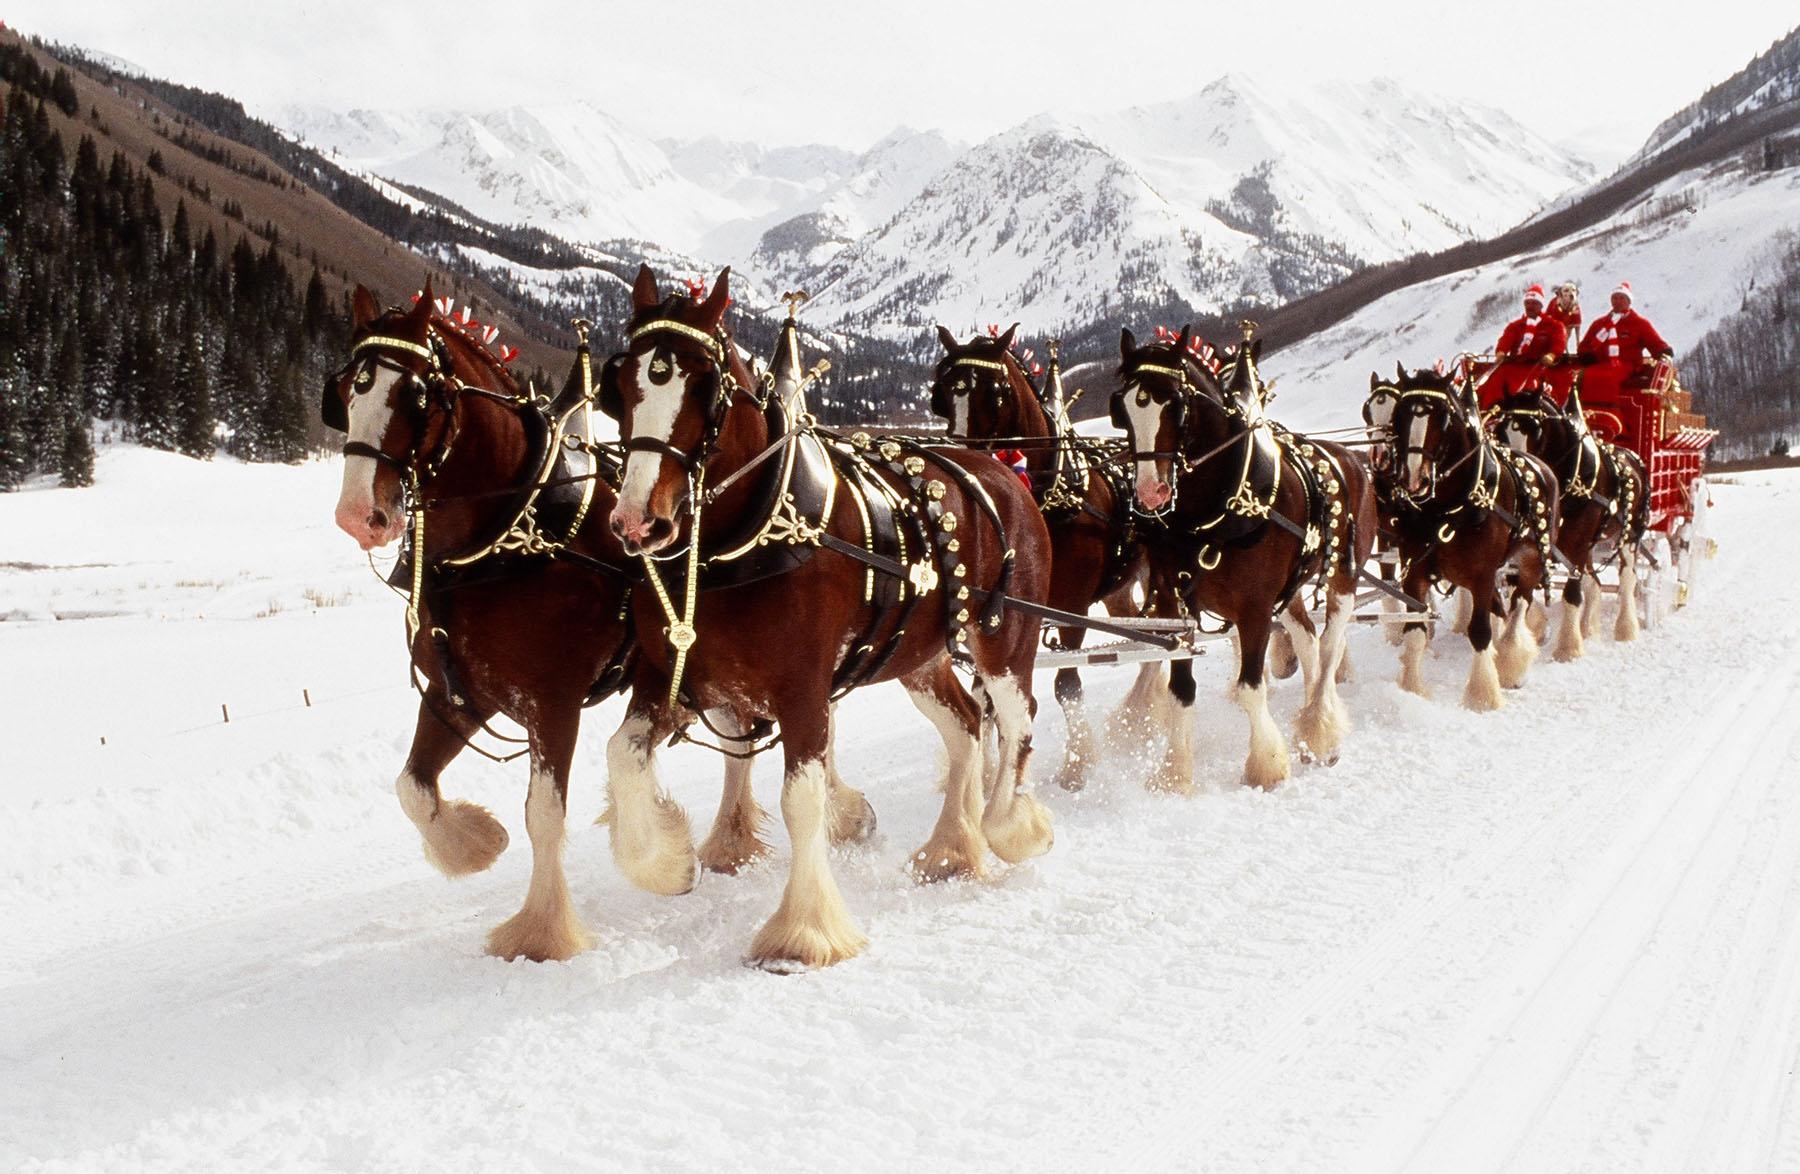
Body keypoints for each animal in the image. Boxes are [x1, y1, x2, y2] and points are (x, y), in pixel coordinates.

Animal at [601, 268, 1051, 972]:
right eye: (619, 381)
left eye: (702, 385)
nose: (638, 521)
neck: (749, 536)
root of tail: (1005, 473)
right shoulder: (679, 673)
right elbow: (622, 754)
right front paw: (667, 862)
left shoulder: (804, 691)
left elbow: (801, 800)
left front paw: (804, 931)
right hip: (918, 656)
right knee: (966, 727)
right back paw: (952, 847)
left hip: (1006, 640)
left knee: (1016, 720)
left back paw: (1006, 826)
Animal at [928, 325, 1137, 792]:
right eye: (943, 395)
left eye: (997, 392)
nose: (963, 463)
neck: (1047, 495)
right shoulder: (995, 611)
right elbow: (986, 698)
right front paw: (988, 776)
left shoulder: (1072, 607)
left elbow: (1067, 685)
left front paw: (1077, 766)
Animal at [1108, 325, 1375, 792]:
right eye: (1121, 409)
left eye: (1175, 405)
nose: (1150, 493)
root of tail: (1352, 458)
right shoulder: (1175, 603)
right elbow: (1181, 689)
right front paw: (1175, 773)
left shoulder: (1254, 608)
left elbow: (1252, 688)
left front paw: (1265, 766)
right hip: (1291, 589)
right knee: (1307, 637)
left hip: (1343, 574)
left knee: (1331, 644)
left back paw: (1319, 725)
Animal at [1375, 367, 1562, 705]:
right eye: (1400, 415)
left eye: (1443, 418)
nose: (1414, 479)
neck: (1445, 507)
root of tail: (1543, 467)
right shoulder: (1416, 572)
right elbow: (1415, 632)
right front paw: (1412, 689)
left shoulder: (1482, 574)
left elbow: (1480, 631)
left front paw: (1482, 695)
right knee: (1503, 607)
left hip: (1530, 559)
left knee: (1520, 602)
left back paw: (1510, 662)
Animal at [1490, 387, 1648, 655]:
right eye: (1501, 429)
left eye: (1535, 429)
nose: (1520, 475)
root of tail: (1634, 458)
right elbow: (1519, 589)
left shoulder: (1576, 544)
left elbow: (1571, 593)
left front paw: (1568, 647)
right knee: (1594, 582)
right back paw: (1587, 627)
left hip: (1629, 534)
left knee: (1627, 577)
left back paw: (1625, 628)